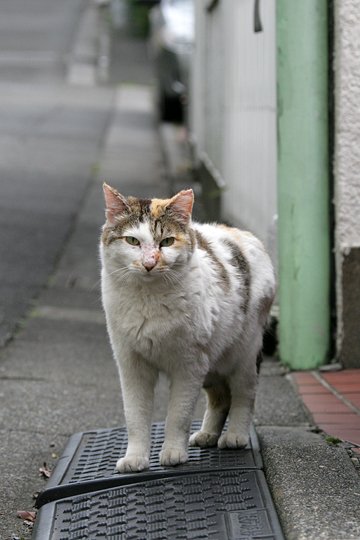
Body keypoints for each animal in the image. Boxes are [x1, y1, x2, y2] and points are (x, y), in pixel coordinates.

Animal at [100, 182, 274, 472]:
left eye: (167, 242)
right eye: (133, 241)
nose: (149, 263)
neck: (148, 300)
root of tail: (243, 233)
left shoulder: (188, 366)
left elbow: (177, 415)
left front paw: (173, 453)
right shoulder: (131, 365)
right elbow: (135, 416)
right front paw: (136, 458)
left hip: (242, 354)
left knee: (244, 394)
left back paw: (235, 435)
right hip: (212, 364)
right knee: (220, 398)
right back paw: (207, 434)